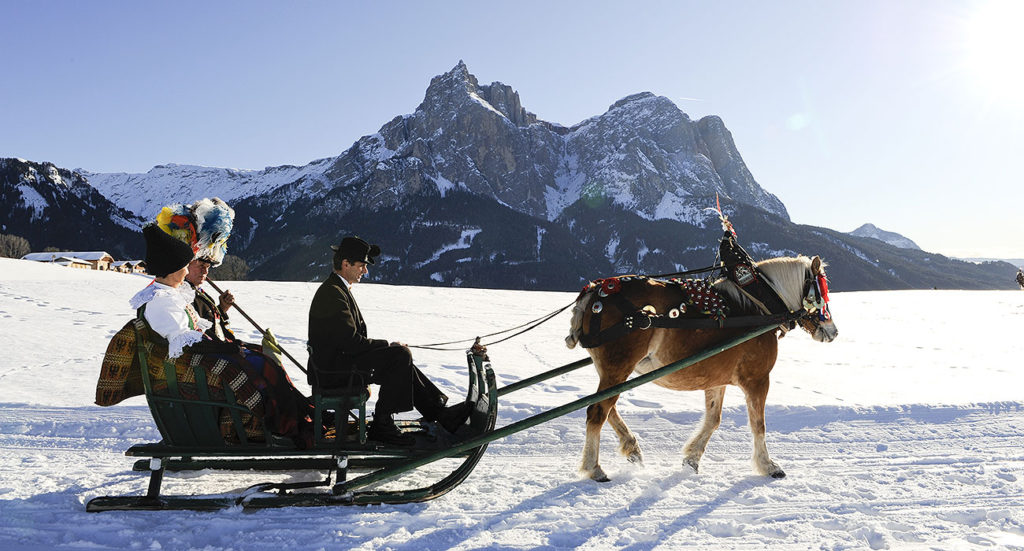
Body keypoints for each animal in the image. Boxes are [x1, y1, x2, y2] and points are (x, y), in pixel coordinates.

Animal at [565, 253, 835, 479]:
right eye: (821, 294)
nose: (833, 332)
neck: (759, 306)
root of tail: (595, 291)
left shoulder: (716, 379)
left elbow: (713, 419)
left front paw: (692, 459)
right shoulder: (758, 379)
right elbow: (758, 424)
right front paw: (768, 465)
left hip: (612, 370)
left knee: (607, 408)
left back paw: (631, 448)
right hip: (618, 367)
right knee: (597, 411)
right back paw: (594, 467)